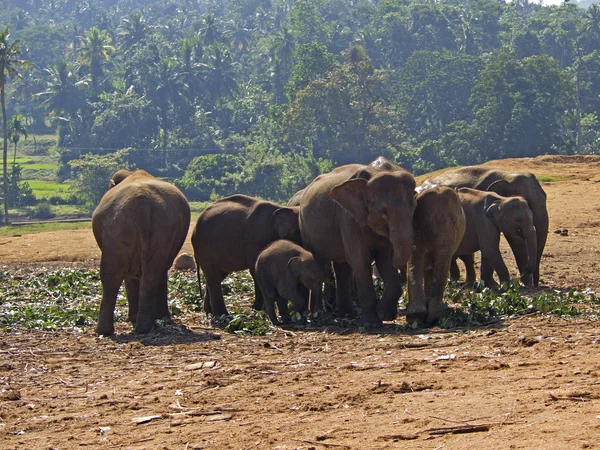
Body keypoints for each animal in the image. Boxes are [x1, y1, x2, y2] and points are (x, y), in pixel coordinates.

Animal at [300, 162, 418, 326]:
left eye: (414, 206)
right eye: (384, 211)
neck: (375, 173)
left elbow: (384, 261)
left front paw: (384, 314)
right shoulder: (349, 218)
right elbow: (360, 261)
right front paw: (371, 323)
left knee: (342, 267)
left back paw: (347, 314)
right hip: (305, 229)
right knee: (321, 264)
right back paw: (320, 316)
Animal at [406, 185, 466, 326]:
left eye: (456, 223)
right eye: (427, 224)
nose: (431, 320)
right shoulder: (414, 227)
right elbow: (414, 259)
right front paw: (415, 315)